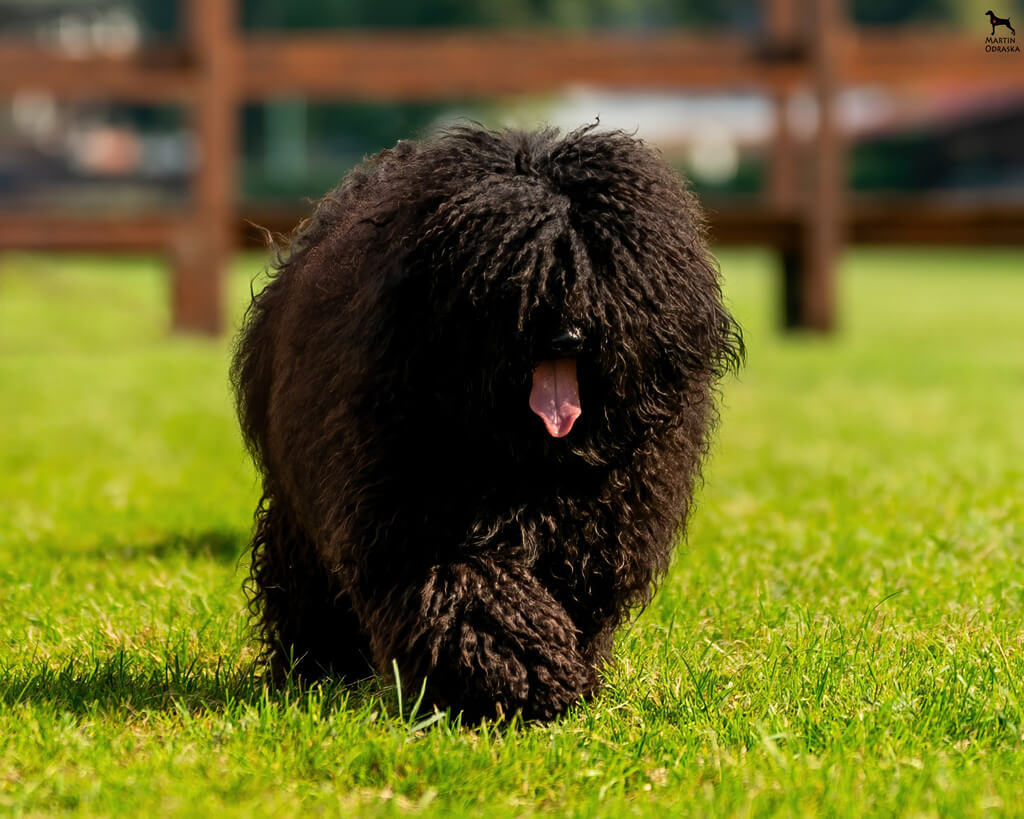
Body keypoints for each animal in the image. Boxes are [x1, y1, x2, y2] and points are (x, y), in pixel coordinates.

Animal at [233, 124, 745, 720]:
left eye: (606, 263)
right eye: (513, 270)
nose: (566, 336)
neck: (535, 457)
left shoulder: (603, 525)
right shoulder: (417, 512)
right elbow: (470, 588)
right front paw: (519, 675)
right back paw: (317, 668)